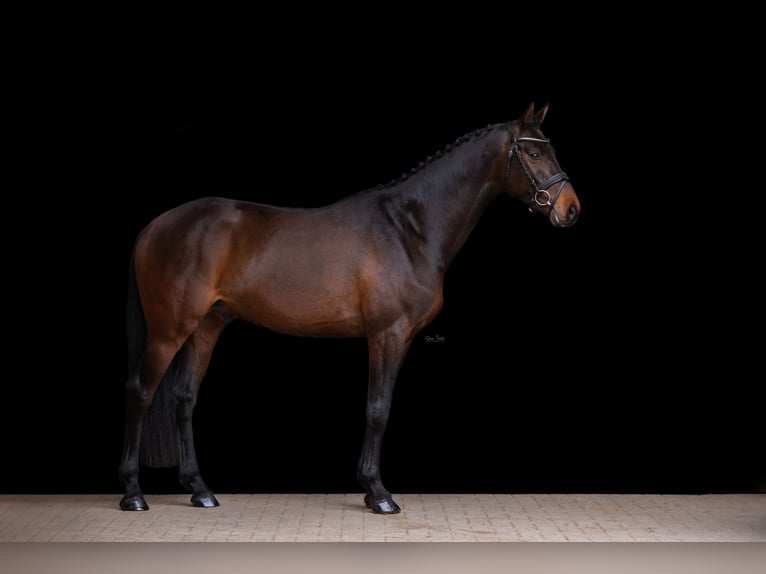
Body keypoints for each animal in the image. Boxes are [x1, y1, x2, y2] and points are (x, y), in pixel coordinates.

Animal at [118, 102, 580, 515]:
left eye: (551, 149)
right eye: (534, 153)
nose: (570, 208)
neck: (408, 228)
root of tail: (154, 227)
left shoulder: (401, 338)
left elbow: (381, 407)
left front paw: (372, 489)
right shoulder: (386, 334)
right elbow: (377, 410)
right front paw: (378, 493)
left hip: (207, 326)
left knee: (184, 399)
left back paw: (200, 491)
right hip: (169, 331)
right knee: (140, 393)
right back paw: (133, 494)